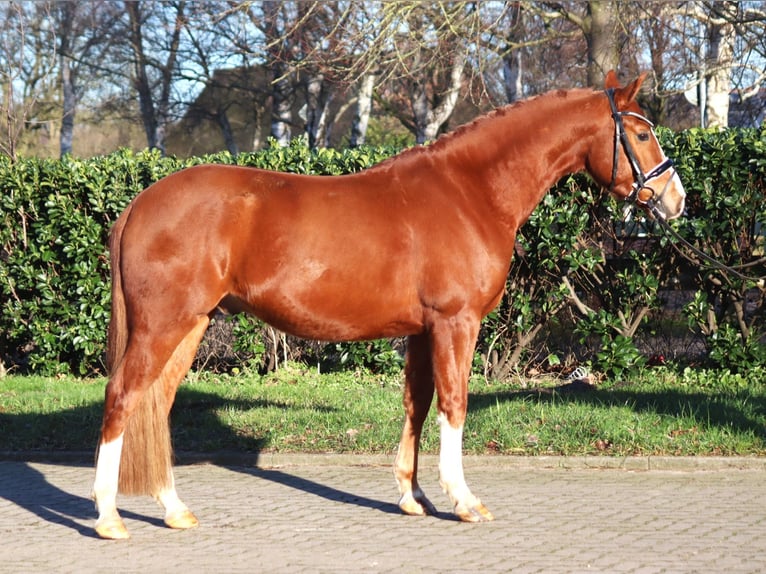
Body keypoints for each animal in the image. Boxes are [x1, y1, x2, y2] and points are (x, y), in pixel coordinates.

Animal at [93, 72, 688, 540]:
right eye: (641, 132)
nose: (675, 200)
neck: (469, 192)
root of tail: (141, 203)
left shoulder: (422, 331)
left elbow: (417, 405)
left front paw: (413, 497)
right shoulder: (455, 323)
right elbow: (454, 403)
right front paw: (463, 501)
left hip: (192, 325)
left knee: (156, 405)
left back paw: (174, 510)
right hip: (163, 325)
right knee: (123, 397)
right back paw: (108, 517)